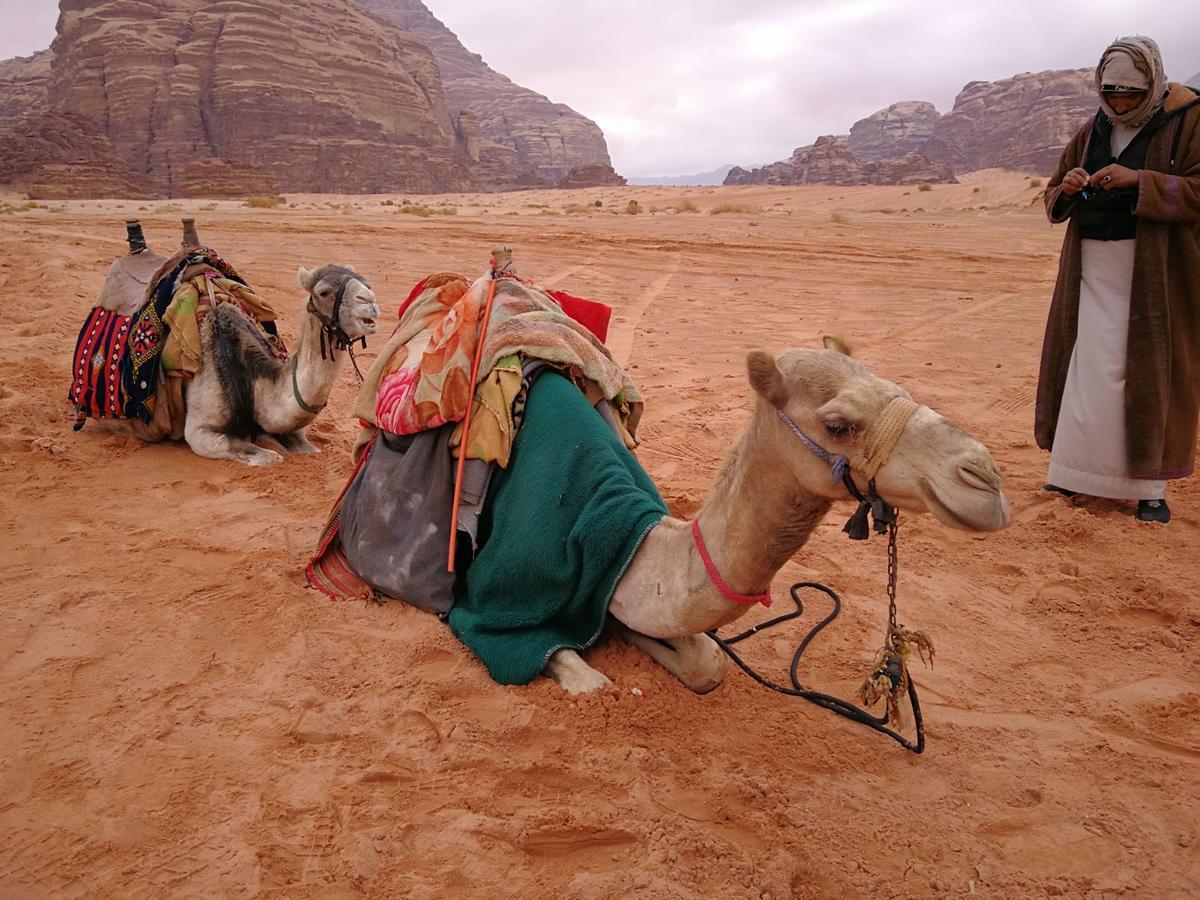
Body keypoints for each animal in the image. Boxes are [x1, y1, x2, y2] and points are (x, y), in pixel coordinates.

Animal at [66, 218, 374, 465]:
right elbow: (266, 456)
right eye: (323, 292)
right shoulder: (200, 431)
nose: (370, 302)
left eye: (365, 282)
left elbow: (306, 449)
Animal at [544, 340, 1012, 696]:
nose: (985, 478)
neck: (632, 540)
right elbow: (589, 680)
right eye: (838, 425)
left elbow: (710, 662)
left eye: (901, 389)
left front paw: (633, 635)